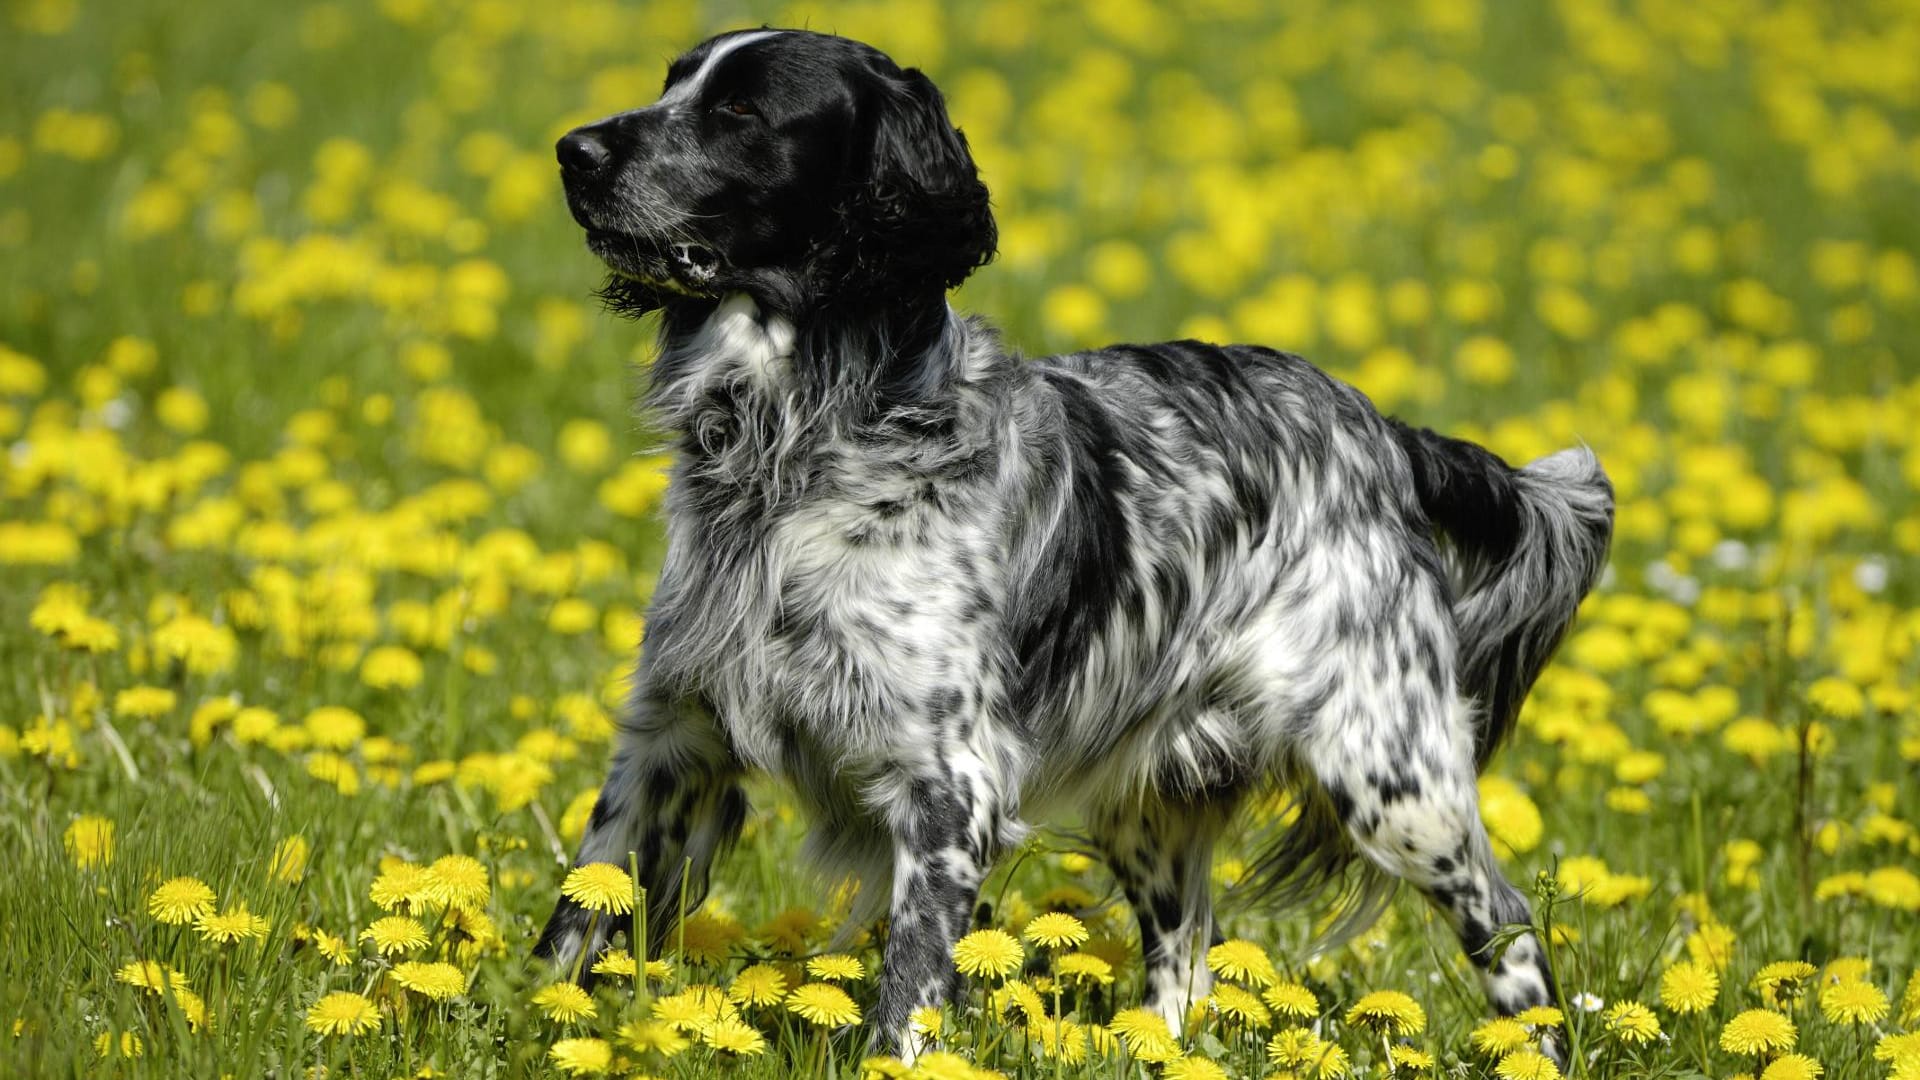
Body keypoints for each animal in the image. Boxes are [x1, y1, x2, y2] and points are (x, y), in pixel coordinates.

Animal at [533, 27, 1612, 1060]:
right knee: (1185, 962)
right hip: (1155, 797)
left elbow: (909, 992)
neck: (795, 448)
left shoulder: (949, 785)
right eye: (670, 82)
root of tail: (1379, 429)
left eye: (741, 109)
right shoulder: (669, 741)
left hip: (1391, 774)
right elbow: (574, 926)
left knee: (1508, 926)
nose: (572, 149)